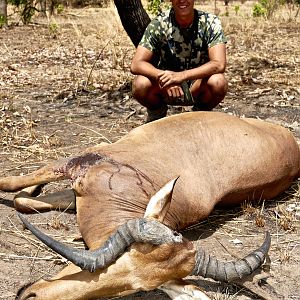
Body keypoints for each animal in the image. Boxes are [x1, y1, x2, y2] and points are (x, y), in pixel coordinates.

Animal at [0, 112, 298, 300]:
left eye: (134, 288)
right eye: (123, 255)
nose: (30, 295)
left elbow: (21, 199)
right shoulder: (79, 162)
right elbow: (14, 188)